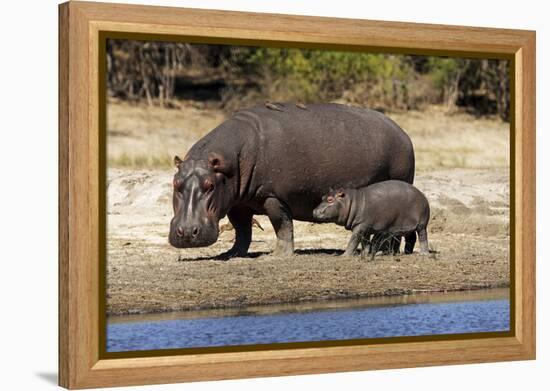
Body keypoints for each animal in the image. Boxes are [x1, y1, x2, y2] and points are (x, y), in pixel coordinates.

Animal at [168, 102, 414, 258]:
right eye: (175, 183)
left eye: (210, 185)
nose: (187, 232)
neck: (229, 162)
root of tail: (402, 132)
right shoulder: (237, 202)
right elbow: (242, 230)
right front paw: (232, 254)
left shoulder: (273, 197)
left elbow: (282, 225)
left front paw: (277, 256)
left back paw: (387, 252)